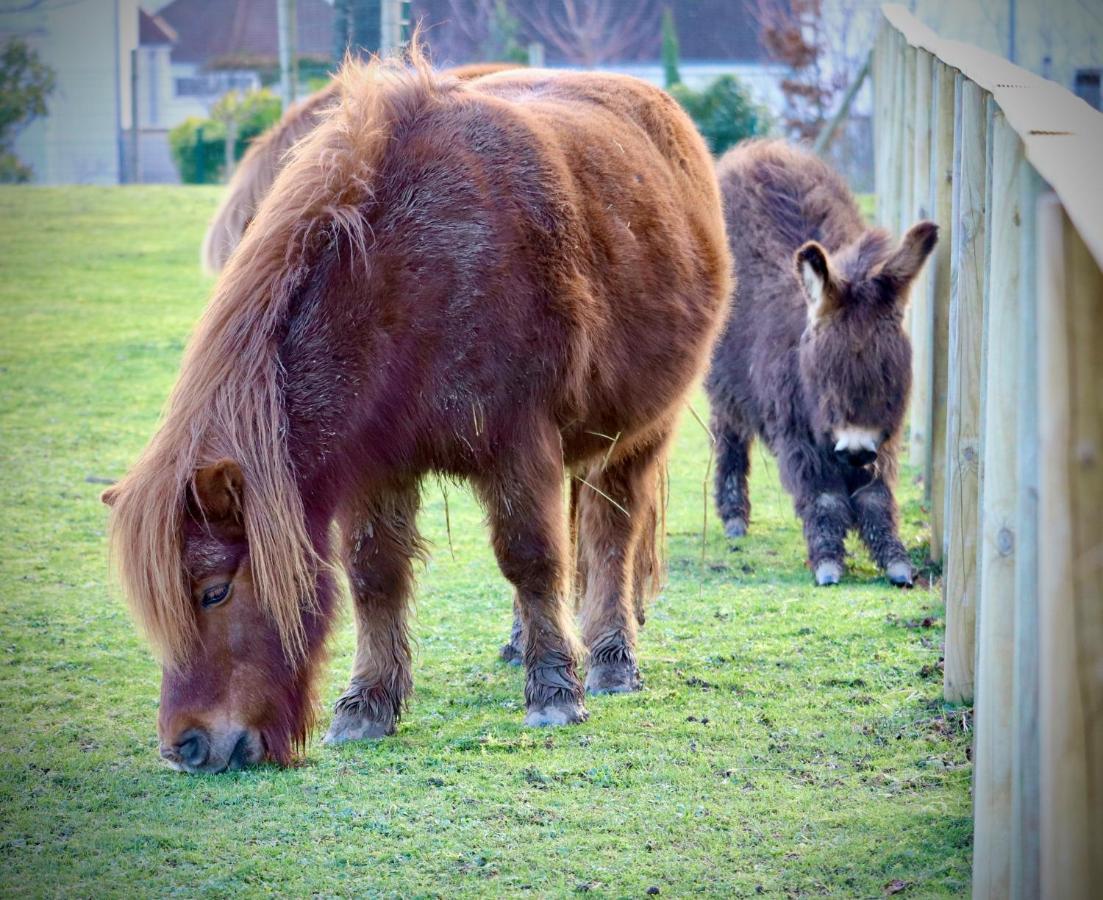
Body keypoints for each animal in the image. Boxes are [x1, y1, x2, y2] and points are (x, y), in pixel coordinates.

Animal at [710, 139, 935, 586]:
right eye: (825, 375)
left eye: (890, 375)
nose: (855, 451)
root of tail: (757, 150)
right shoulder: (800, 436)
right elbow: (826, 498)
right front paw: (828, 560)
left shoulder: (881, 441)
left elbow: (876, 498)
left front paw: (896, 560)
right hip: (724, 385)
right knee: (729, 435)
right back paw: (733, 516)